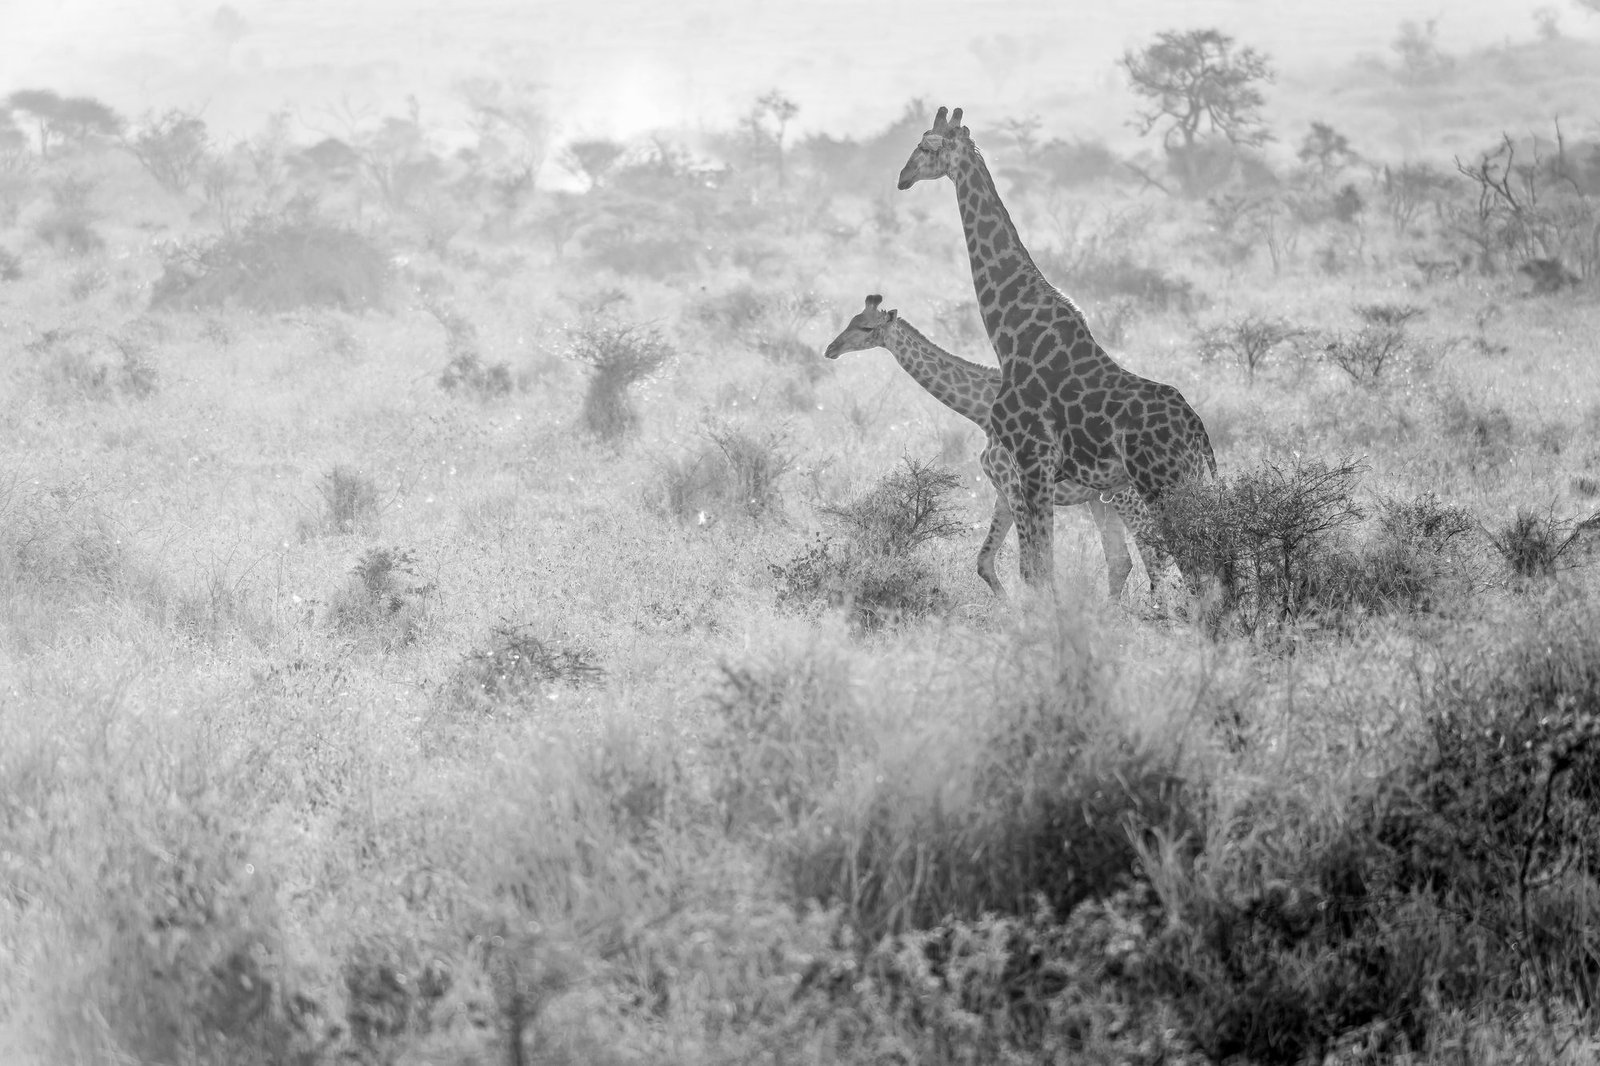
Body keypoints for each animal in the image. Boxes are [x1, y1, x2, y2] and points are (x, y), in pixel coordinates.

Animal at [823, 294, 1150, 598]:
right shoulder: (1002, 491)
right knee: (1121, 560)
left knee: (1151, 551)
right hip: (1101, 500)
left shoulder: (1017, 487)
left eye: (866, 327)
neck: (980, 412)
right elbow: (985, 563)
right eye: (850, 320)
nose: (830, 349)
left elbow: (1030, 568)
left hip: (1131, 496)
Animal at [897, 106, 1216, 589]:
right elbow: (1038, 567)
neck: (1008, 334)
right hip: (1182, 483)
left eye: (926, 147)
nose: (902, 177)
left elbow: (1040, 570)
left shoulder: (1032, 463)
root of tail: (1198, 432)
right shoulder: (1033, 472)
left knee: (1198, 568)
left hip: (1161, 483)